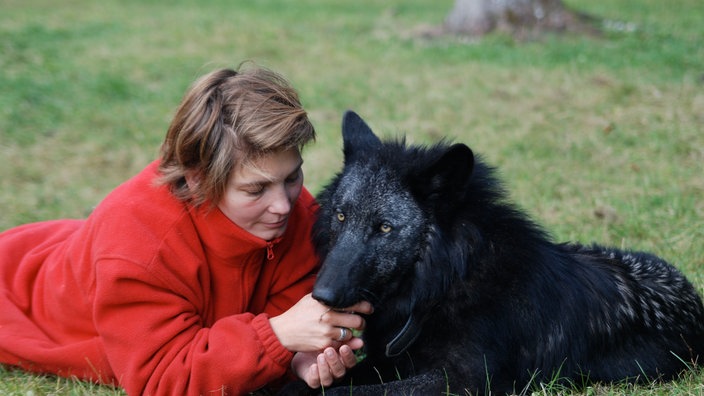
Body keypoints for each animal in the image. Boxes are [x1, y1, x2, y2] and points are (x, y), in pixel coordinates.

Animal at [296, 111, 704, 396]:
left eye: (383, 227)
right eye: (341, 216)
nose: (322, 295)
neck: (442, 286)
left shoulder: (462, 381)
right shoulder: (386, 362)